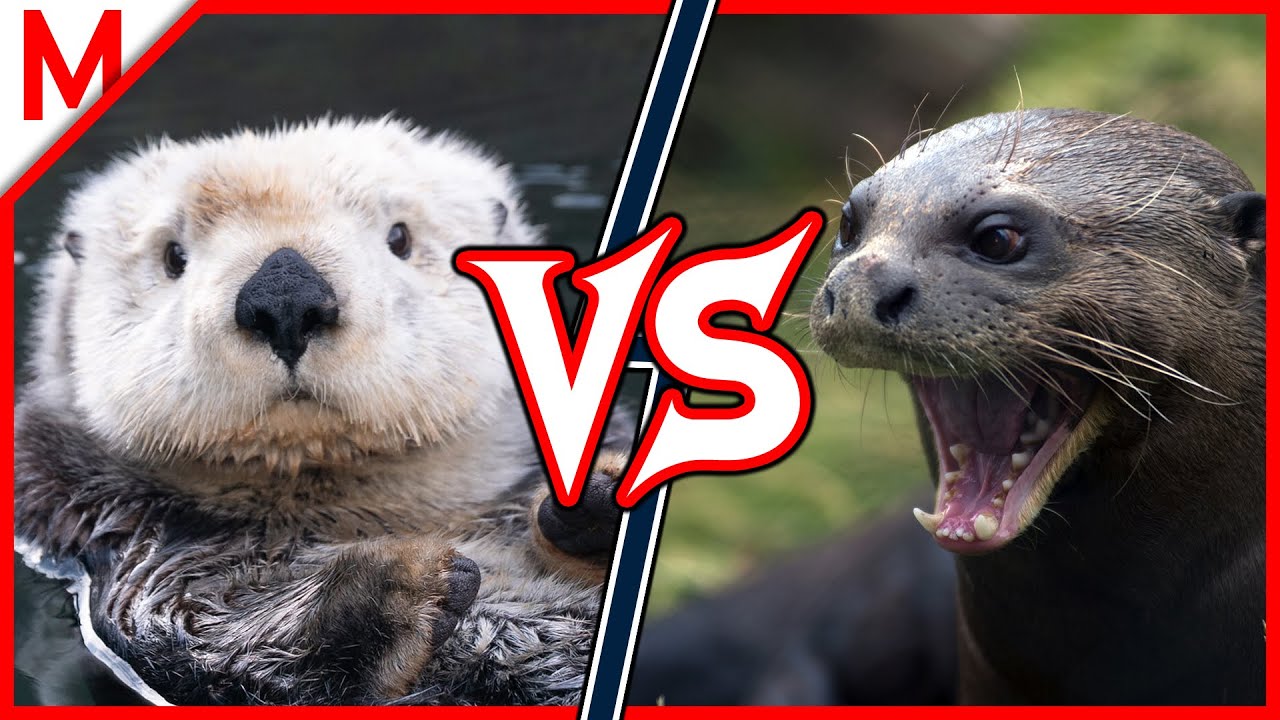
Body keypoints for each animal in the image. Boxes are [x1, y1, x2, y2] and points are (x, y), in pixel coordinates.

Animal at [14, 117, 627, 705]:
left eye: (400, 238)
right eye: (173, 257)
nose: (285, 296)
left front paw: (597, 496)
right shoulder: (132, 545)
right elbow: (210, 633)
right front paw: (401, 586)